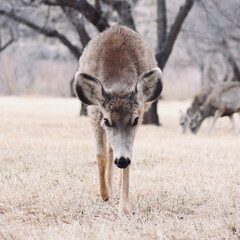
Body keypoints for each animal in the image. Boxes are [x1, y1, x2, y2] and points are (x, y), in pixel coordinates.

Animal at [74, 25, 162, 215]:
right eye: (107, 121)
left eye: (134, 120)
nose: (122, 161)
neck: (117, 83)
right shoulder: (95, 112)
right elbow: (100, 155)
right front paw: (104, 194)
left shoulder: (140, 111)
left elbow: (128, 156)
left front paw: (125, 207)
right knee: (108, 150)